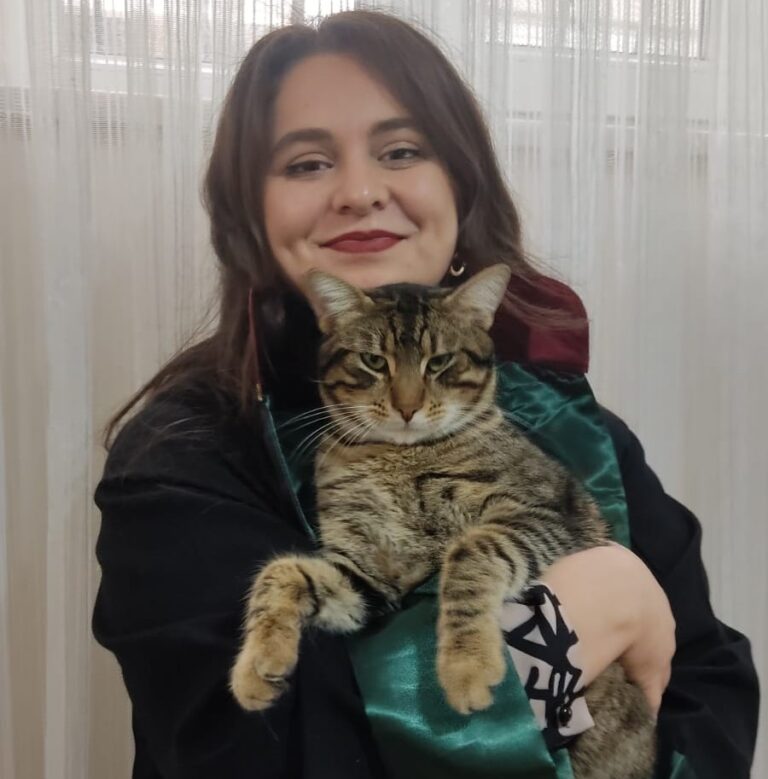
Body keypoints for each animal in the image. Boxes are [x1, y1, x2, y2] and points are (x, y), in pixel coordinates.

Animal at [231, 264, 656, 778]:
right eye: (373, 361)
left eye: (440, 362)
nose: (407, 407)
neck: (395, 458)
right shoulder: (369, 579)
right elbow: (281, 573)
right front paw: (257, 663)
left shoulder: (545, 513)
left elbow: (470, 553)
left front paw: (466, 666)